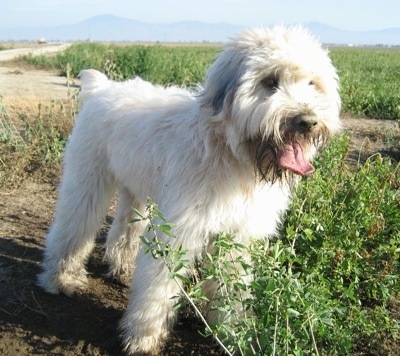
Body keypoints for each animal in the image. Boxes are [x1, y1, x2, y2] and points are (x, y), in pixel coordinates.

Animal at [37, 25, 340, 354]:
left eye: (312, 83)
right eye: (270, 82)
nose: (307, 121)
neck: (230, 152)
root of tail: (102, 88)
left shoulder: (236, 236)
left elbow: (232, 288)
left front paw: (234, 334)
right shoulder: (179, 230)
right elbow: (158, 287)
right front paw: (143, 337)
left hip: (136, 191)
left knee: (125, 229)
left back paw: (122, 268)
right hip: (87, 180)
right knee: (73, 227)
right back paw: (61, 279)